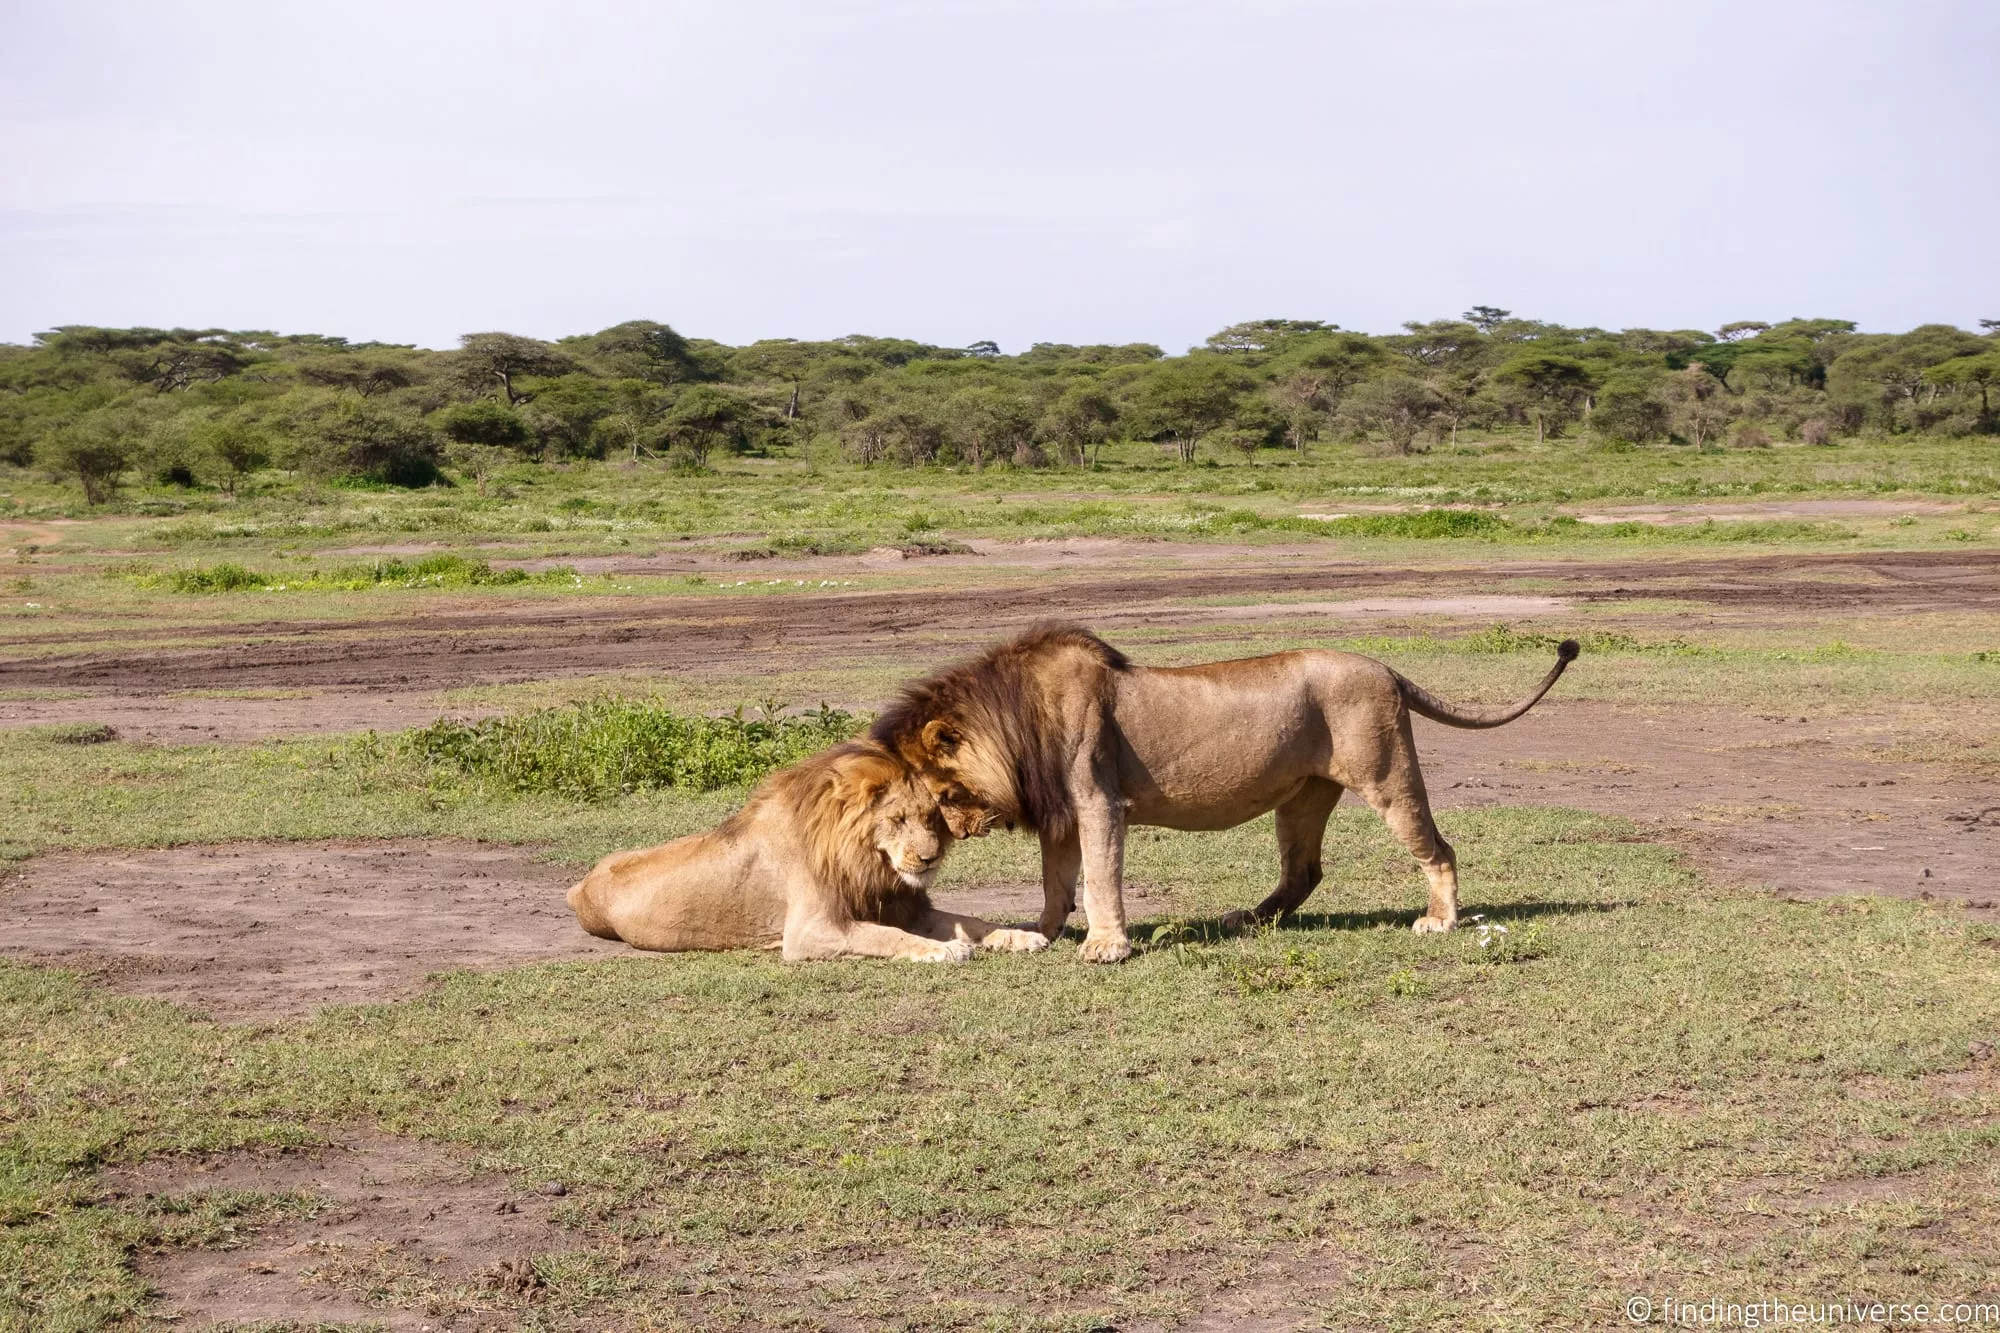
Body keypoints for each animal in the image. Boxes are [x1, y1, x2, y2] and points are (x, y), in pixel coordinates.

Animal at [566, 739, 1048, 962]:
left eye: (931, 817)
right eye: (896, 820)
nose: (929, 860)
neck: (867, 862)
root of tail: (580, 886)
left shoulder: (907, 907)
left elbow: (975, 922)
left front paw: (1023, 936)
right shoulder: (809, 930)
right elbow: (884, 936)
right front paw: (944, 950)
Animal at [870, 625, 1579, 963]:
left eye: (942, 794)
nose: (956, 836)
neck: (1016, 721)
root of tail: (1386, 667)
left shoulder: (1099, 801)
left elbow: (1099, 876)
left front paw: (1106, 946)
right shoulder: (1062, 814)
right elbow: (1055, 882)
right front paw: (1038, 933)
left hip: (1386, 774)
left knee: (1438, 849)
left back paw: (1440, 921)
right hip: (1303, 797)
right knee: (1304, 870)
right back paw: (1250, 920)